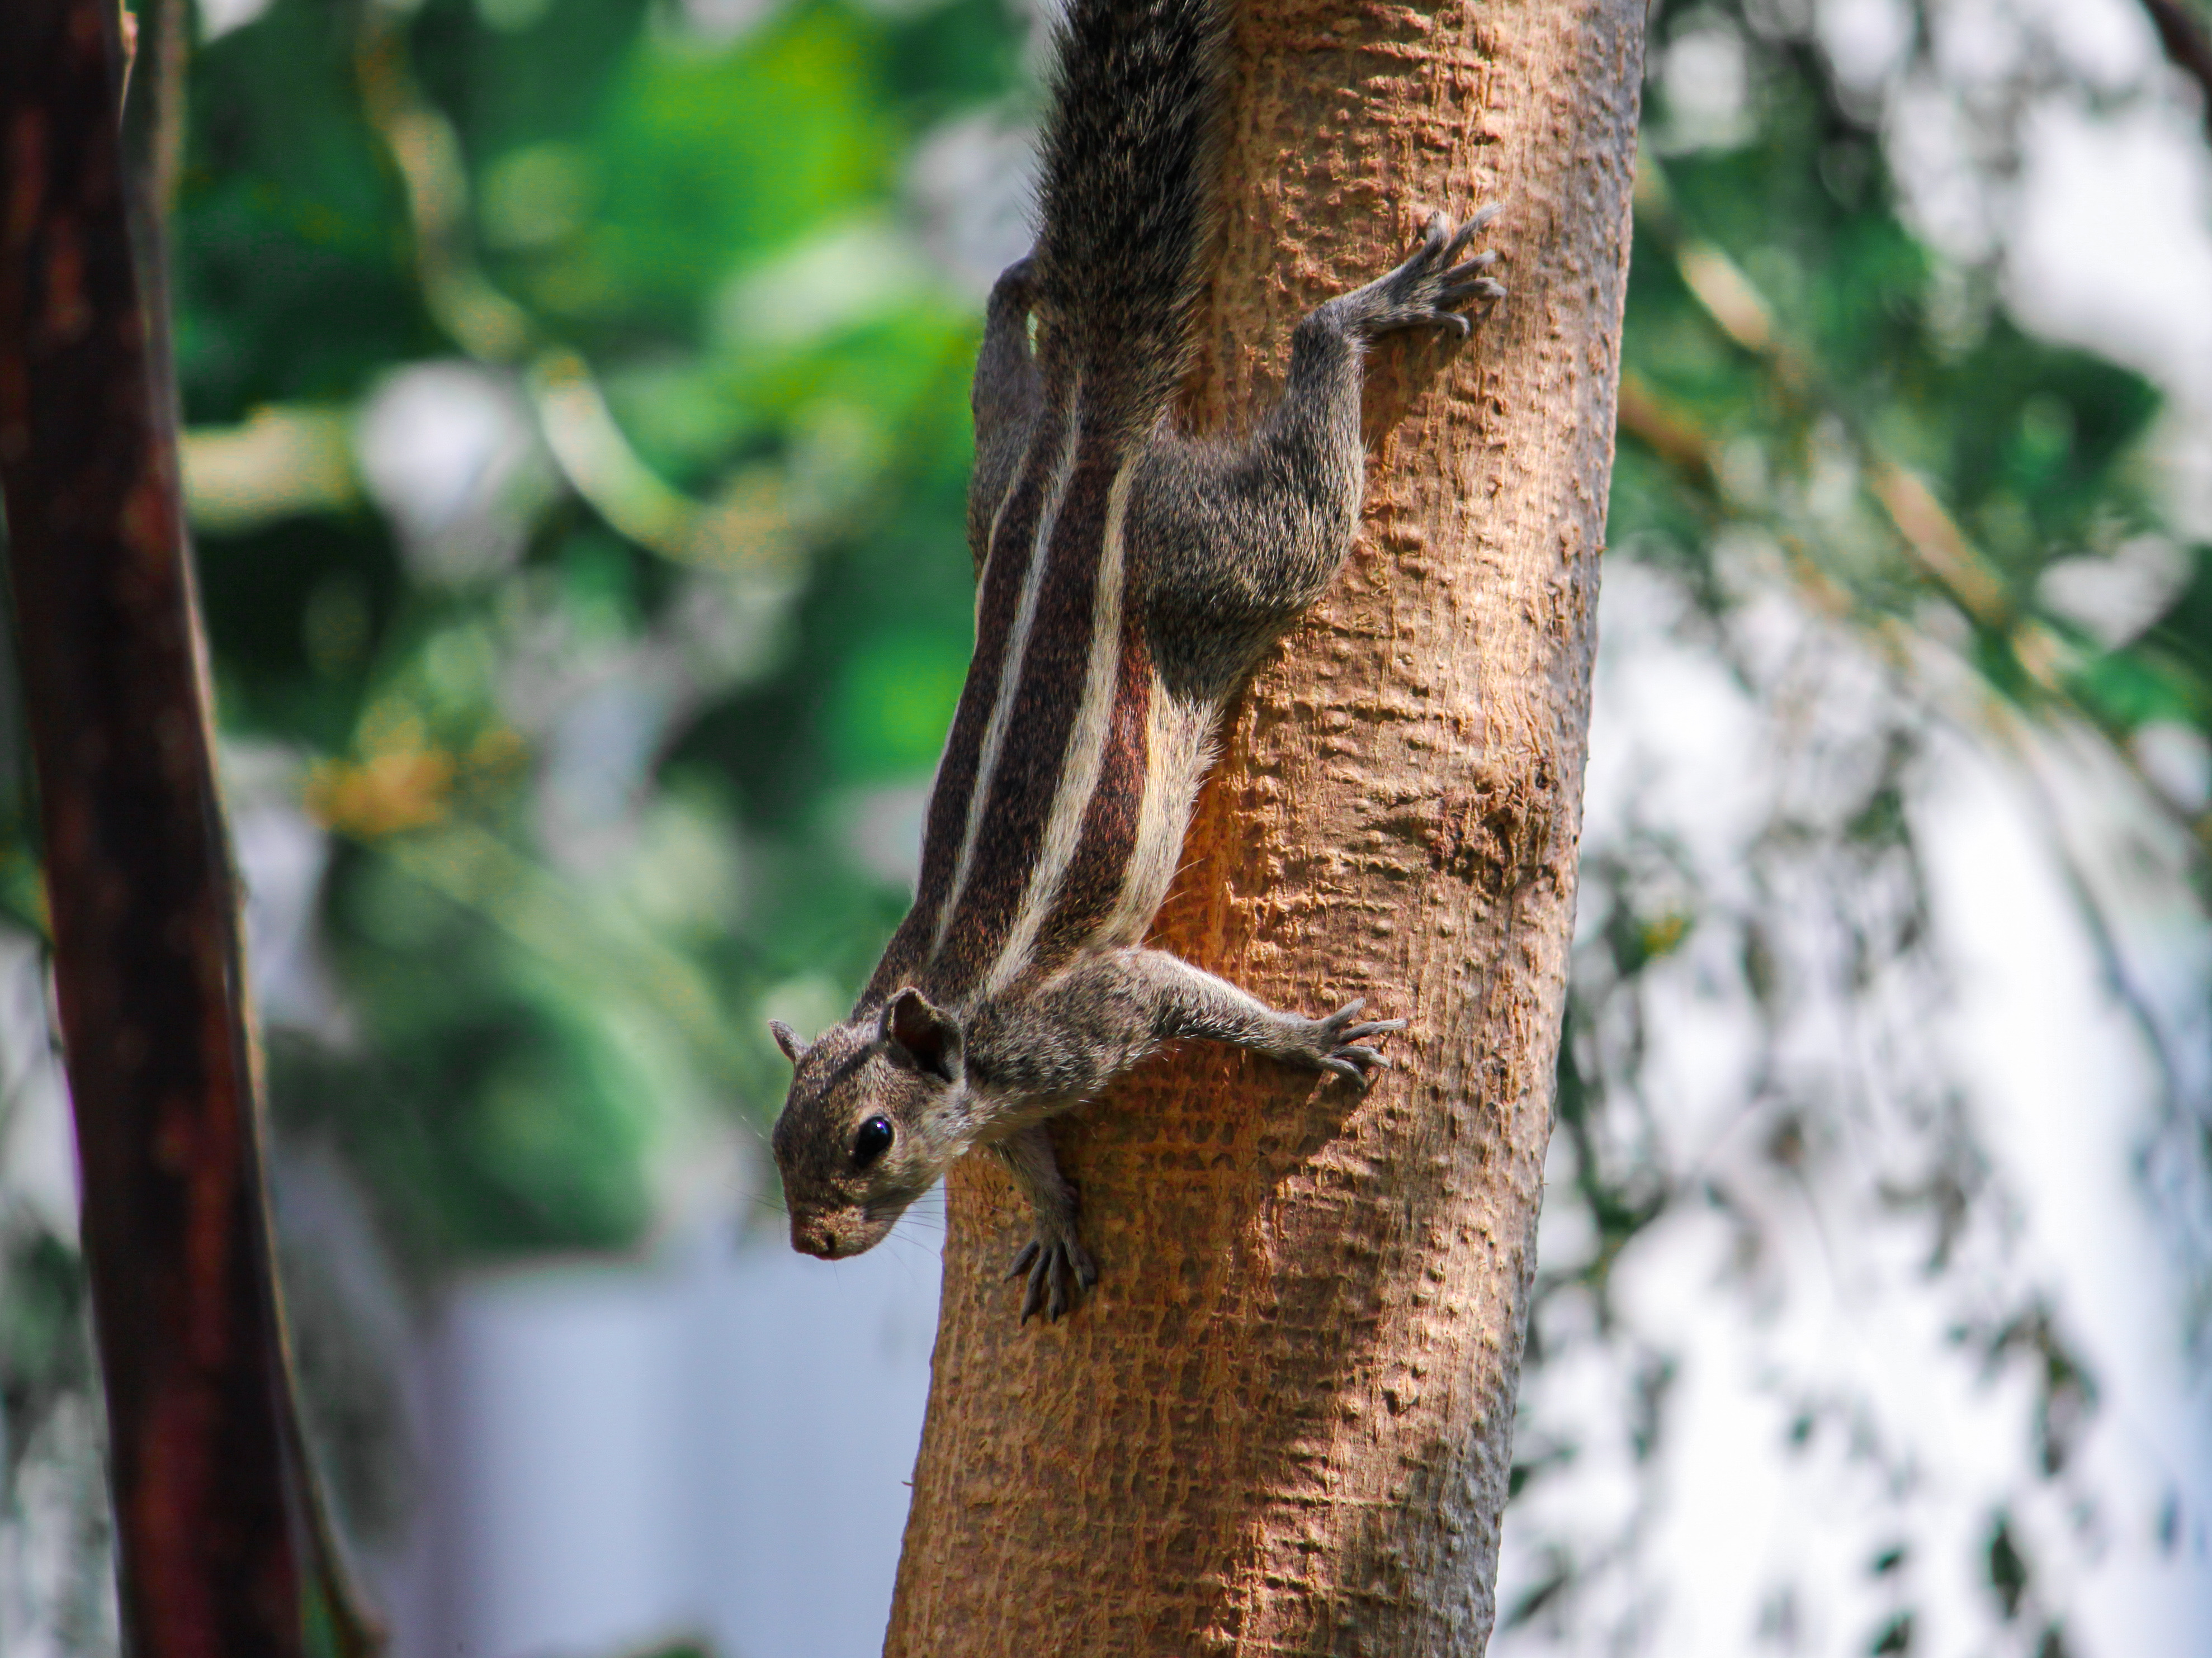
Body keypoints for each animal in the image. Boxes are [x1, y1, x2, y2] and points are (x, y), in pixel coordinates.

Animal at [769, 0, 1503, 1321]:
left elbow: (1183, 996)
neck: (962, 1037)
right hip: (991, 475)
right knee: (1002, 358)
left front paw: (1307, 1040)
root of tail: (1086, 431)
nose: (812, 1242)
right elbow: (1027, 1153)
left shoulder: (1090, 1014)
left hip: (1234, 549)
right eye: (776, 1142)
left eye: (870, 1138)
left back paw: (1364, 313)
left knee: (1306, 453)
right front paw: (1056, 1218)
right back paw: (1025, 283)